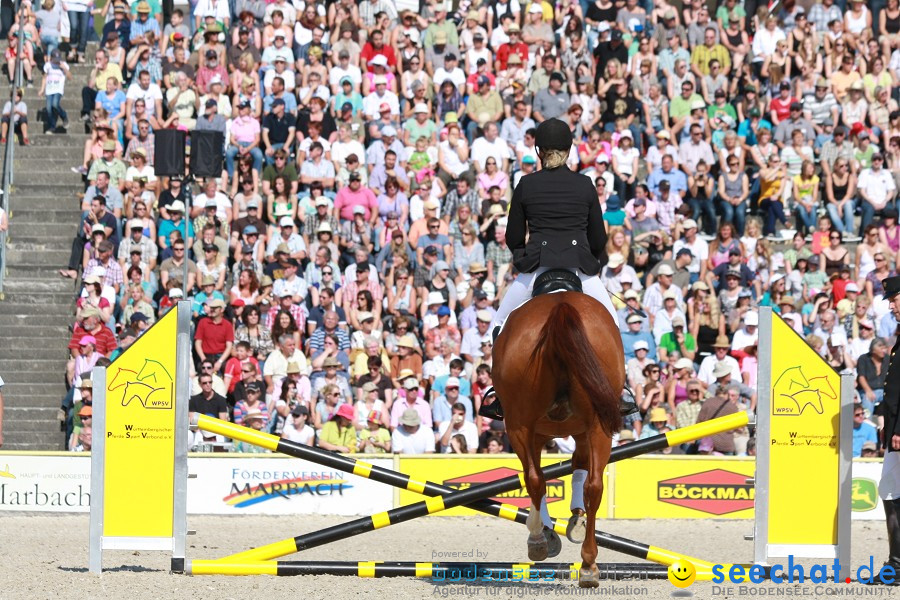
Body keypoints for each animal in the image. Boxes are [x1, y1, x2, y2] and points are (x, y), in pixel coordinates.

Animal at [488, 290, 624, 584]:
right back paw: (588, 565)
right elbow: (579, 470)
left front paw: (552, 530)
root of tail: (560, 304)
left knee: (534, 479)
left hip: (518, 425)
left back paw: (539, 539)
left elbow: (545, 478)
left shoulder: (538, 434)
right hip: (599, 426)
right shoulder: (581, 431)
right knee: (594, 486)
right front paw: (575, 521)